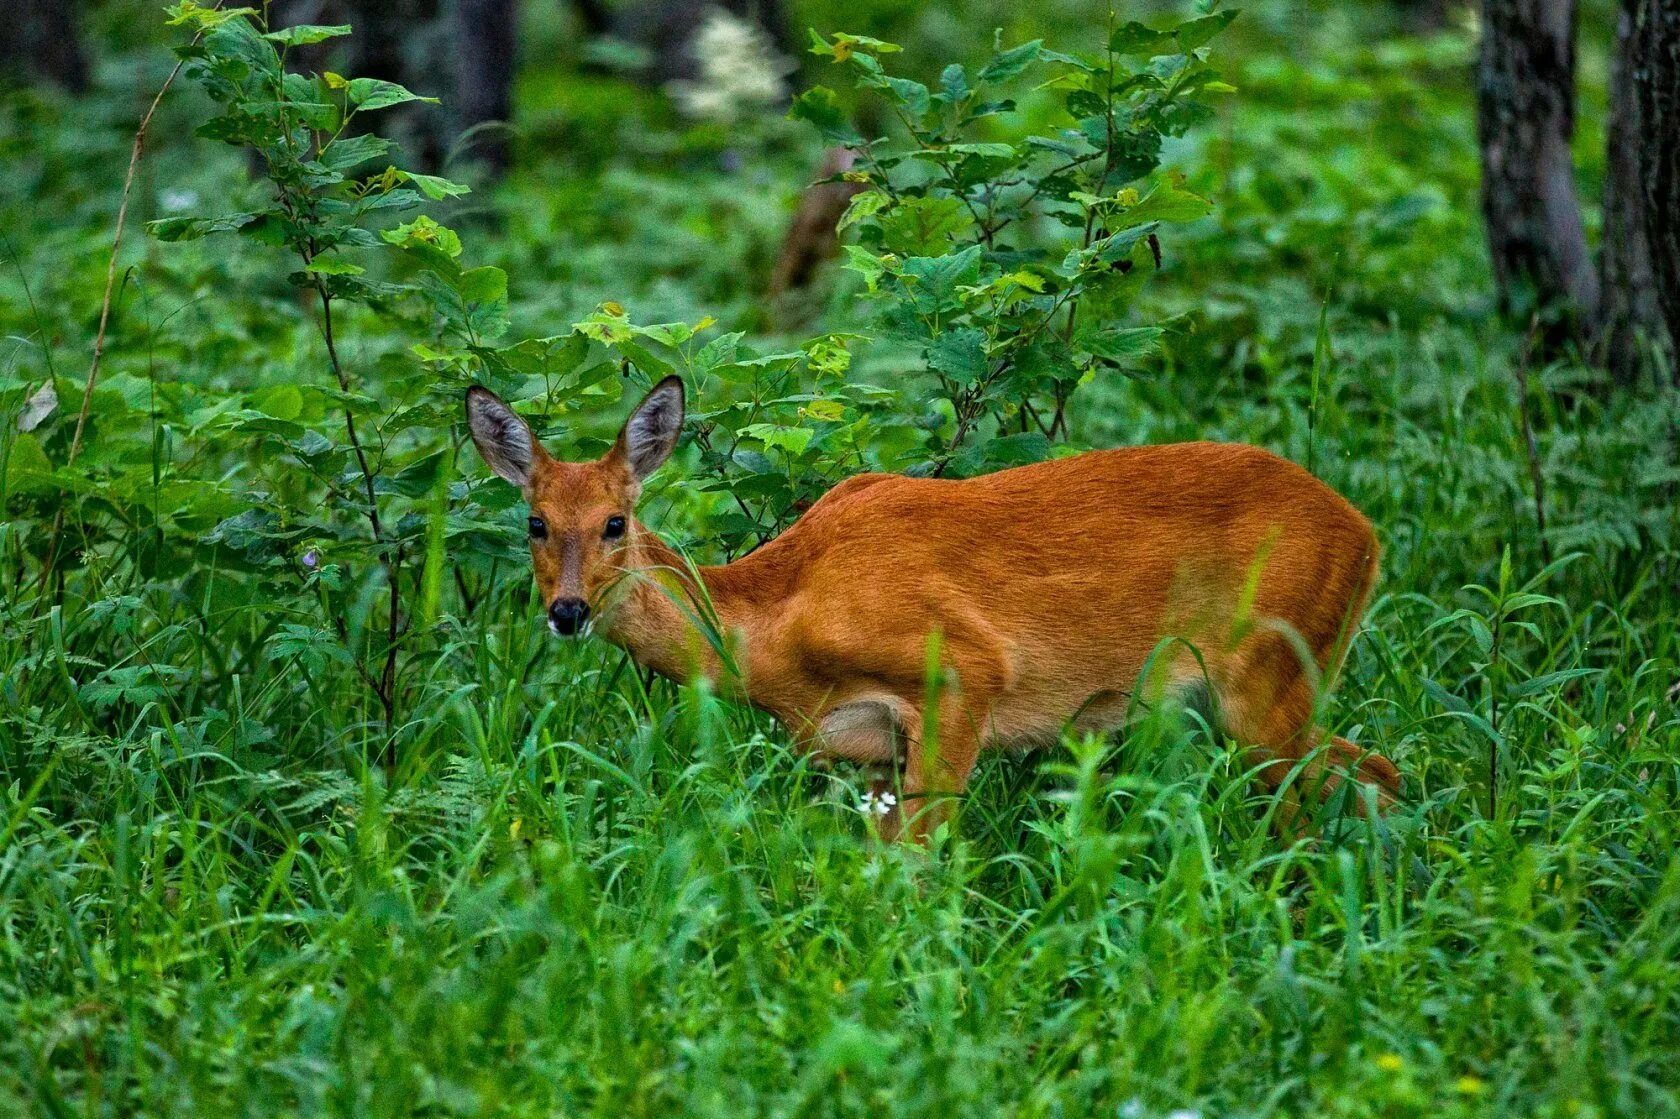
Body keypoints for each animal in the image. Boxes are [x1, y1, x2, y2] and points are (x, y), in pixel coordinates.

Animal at [467, 374, 1397, 836]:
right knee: (1375, 771)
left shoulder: (960, 674)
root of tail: (1367, 534)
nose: (568, 611)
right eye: (535, 522)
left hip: (1268, 674)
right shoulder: (868, 751)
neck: (775, 624)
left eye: (615, 521)